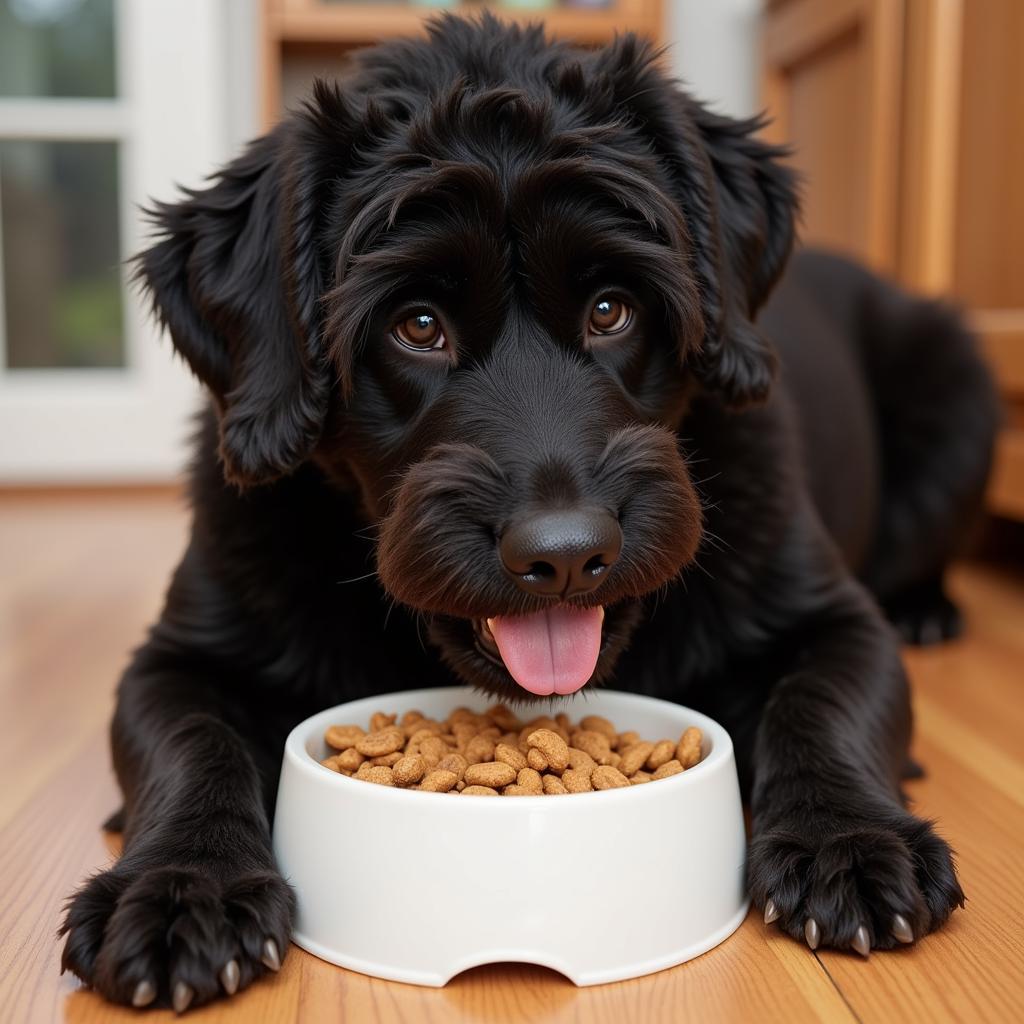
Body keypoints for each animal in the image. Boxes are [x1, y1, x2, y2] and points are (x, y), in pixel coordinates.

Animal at [58, 14, 991, 1007]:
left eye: (613, 309)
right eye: (416, 326)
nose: (566, 553)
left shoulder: (832, 621)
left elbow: (823, 703)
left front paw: (849, 839)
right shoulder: (177, 658)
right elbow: (190, 743)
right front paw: (181, 888)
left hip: (960, 381)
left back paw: (926, 609)